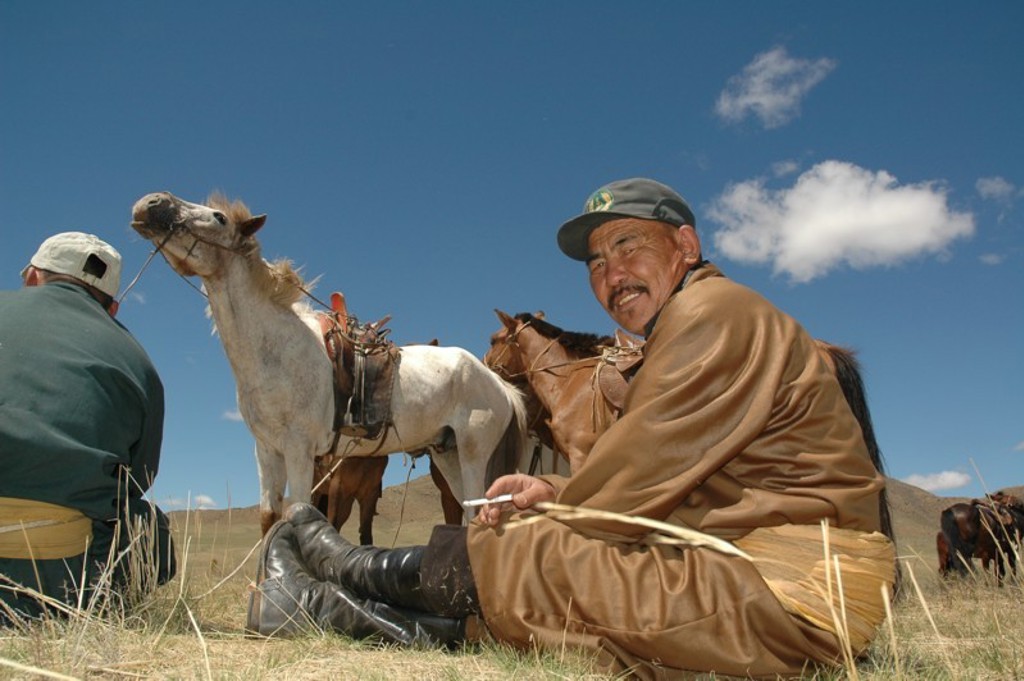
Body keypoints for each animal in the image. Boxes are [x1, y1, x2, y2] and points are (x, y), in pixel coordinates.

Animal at [131, 191, 528, 536]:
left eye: (219, 217)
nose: (150, 202)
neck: (276, 349)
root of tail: (499, 385)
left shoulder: (299, 448)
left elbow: (298, 512)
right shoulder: (266, 450)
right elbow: (269, 518)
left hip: (474, 452)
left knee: (478, 511)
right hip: (447, 454)